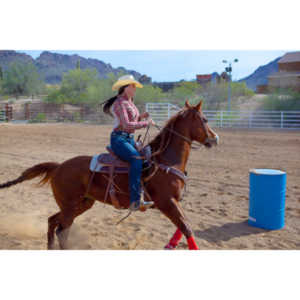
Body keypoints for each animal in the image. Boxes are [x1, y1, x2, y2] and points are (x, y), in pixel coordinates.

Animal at [0, 99, 218, 250]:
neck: (164, 160)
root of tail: (59, 166)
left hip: (82, 203)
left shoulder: (173, 202)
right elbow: (186, 227)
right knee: (63, 229)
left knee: (53, 221)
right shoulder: (166, 202)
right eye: (205, 119)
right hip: (70, 206)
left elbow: (183, 227)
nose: (215, 138)